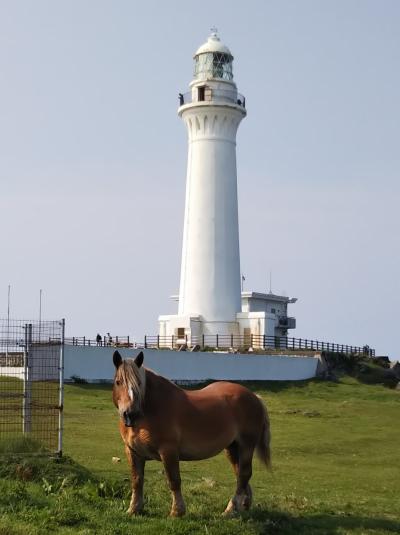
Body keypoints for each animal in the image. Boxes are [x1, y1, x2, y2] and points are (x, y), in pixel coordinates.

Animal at [111, 350, 270, 516]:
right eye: (118, 382)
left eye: (139, 384)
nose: (129, 415)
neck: (150, 410)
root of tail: (254, 397)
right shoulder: (133, 452)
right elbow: (137, 480)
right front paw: (134, 509)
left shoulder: (168, 451)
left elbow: (174, 480)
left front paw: (177, 511)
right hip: (232, 447)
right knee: (240, 474)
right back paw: (244, 505)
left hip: (247, 446)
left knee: (244, 474)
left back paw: (230, 509)